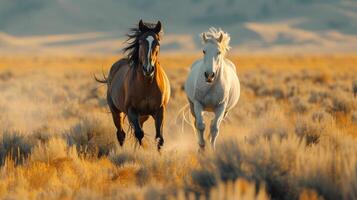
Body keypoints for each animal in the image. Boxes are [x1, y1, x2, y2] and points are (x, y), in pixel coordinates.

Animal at [96, 20, 170, 151]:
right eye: (140, 42)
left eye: (157, 43)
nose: (148, 69)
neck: (146, 85)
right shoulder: (132, 110)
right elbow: (139, 134)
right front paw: (141, 151)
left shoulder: (160, 111)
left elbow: (159, 138)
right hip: (116, 111)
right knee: (121, 134)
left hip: (143, 116)